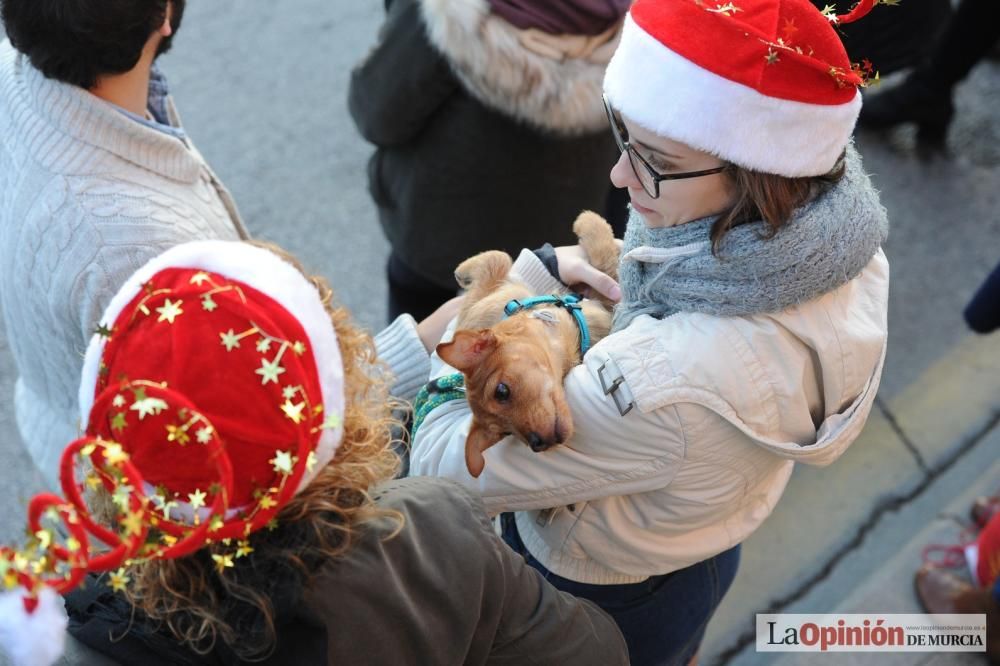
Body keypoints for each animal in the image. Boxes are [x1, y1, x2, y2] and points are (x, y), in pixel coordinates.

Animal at [436, 210, 616, 474]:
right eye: (504, 434)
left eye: (501, 391)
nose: (537, 444)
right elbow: (611, 268)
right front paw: (591, 222)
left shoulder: (483, 306)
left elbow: (497, 259)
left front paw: (589, 221)